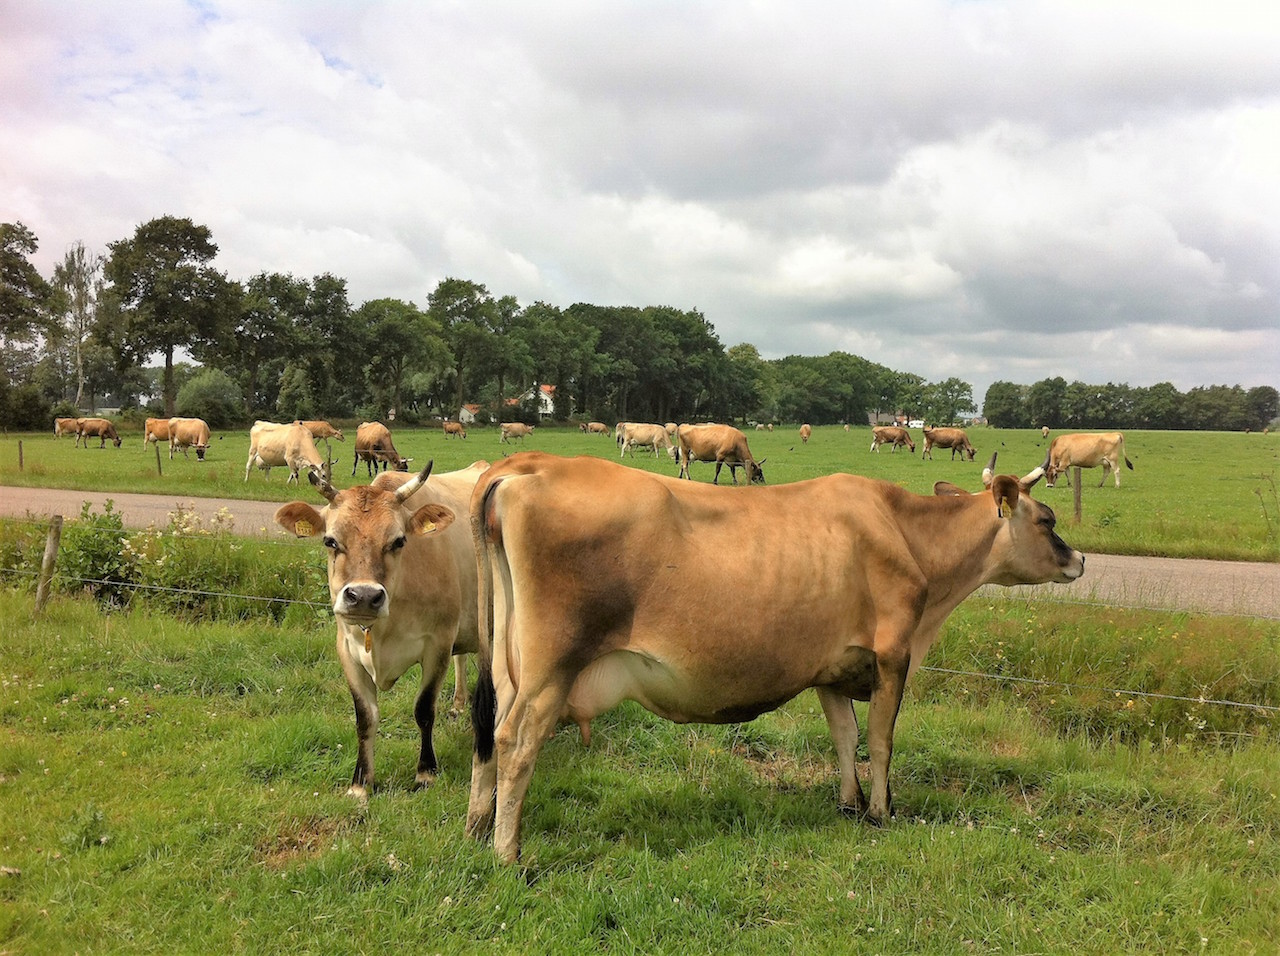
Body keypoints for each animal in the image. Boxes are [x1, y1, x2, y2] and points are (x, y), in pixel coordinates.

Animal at [465, 453, 1085, 865]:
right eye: (1048, 519)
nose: (1079, 560)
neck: (906, 534)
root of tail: (530, 464)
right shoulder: (892, 653)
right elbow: (881, 739)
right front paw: (882, 812)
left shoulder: (834, 666)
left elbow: (844, 735)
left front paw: (848, 805)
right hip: (553, 665)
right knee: (516, 740)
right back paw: (507, 853)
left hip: (510, 663)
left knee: (489, 728)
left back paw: (477, 824)